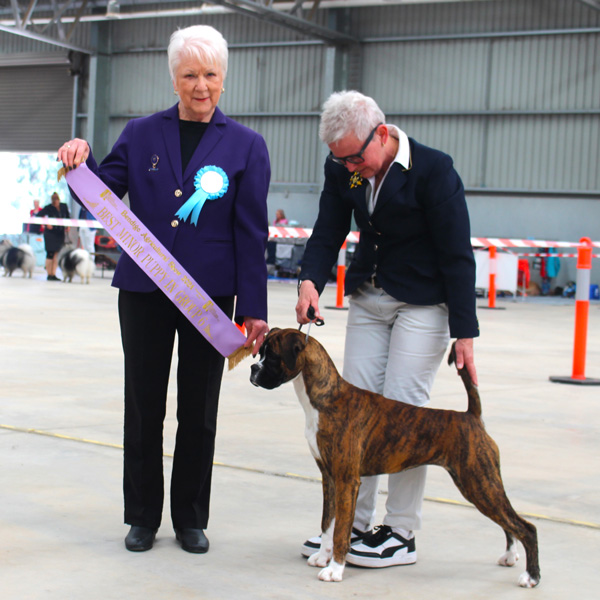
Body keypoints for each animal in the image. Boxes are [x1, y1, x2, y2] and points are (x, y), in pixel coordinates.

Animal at [248, 328, 540, 584]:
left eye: (272, 356)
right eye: (260, 352)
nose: (253, 369)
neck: (326, 399)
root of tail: (471, 416)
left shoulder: (346, 481)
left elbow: (341, 530)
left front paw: (335, 570)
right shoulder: (329, 479)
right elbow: (327, 522)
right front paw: (322, 557)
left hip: (479, 484)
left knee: (525, 527)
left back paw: (531, 577)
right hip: (480, 485)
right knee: (509, 523)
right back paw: (510, 556)